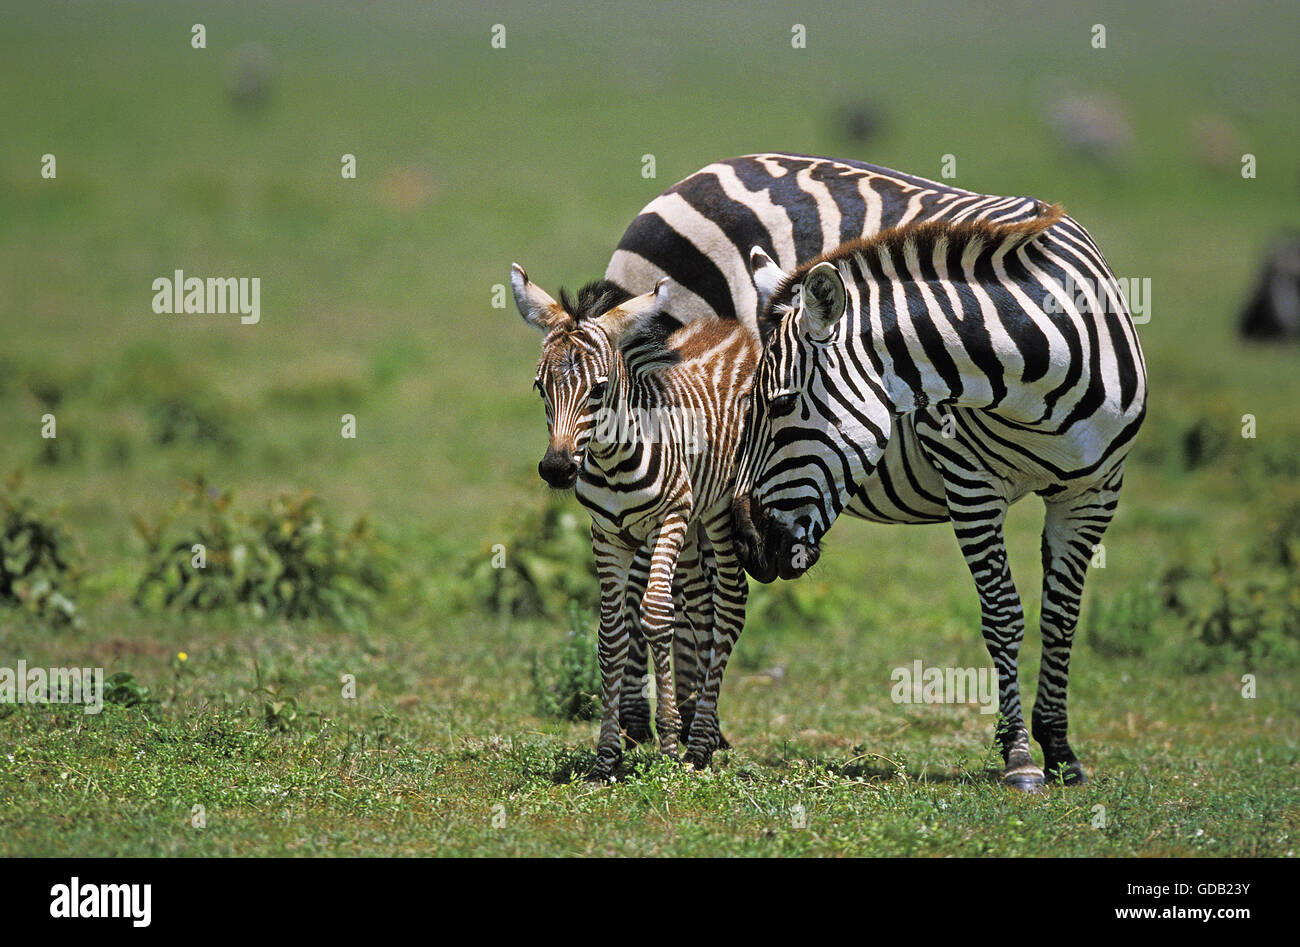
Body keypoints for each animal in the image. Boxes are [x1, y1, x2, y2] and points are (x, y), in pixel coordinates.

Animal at [733, 205, 1149, 790]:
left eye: (780, 404)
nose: (748, 544)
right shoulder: (970, 483)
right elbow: (1003, 616)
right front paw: (1020, 758)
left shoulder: (1095, 494)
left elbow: (1061, 619)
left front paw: (1060, 753)